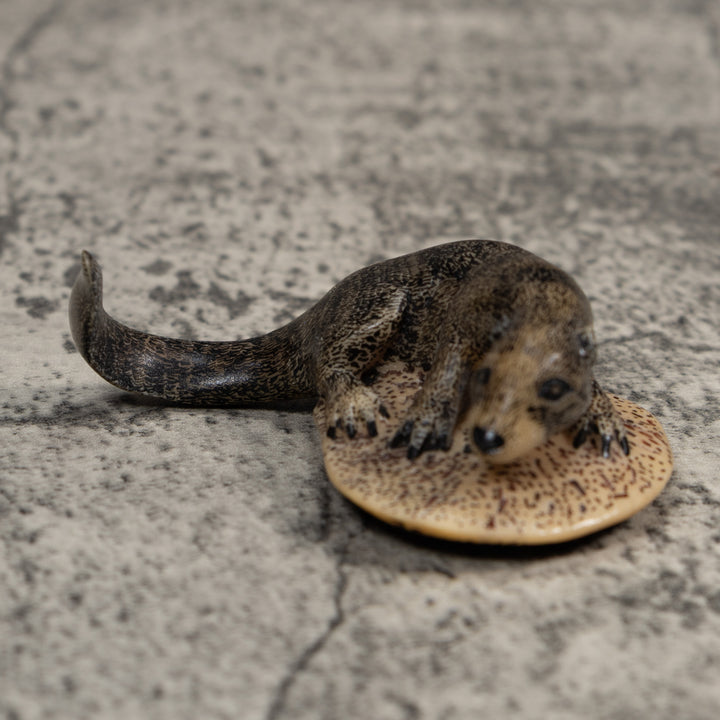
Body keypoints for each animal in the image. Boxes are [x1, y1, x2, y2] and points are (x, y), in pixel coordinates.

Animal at [69, 240, 629, 463]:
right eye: (485, 381)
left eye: (552, 389)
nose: (490, 437)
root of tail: (316, 312)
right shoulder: (463, 331)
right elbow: (446, 372)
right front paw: (423, 427)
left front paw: (601, 418)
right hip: (377, 305)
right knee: (331, 364)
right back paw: (354, 406)